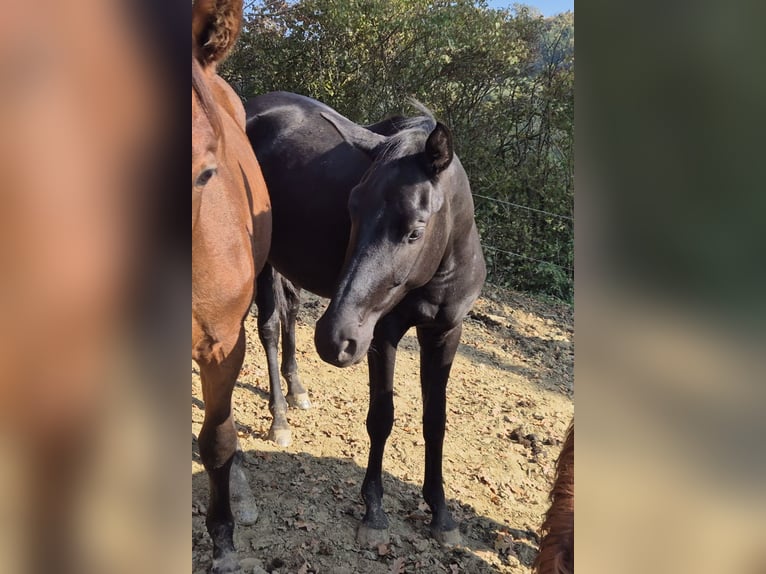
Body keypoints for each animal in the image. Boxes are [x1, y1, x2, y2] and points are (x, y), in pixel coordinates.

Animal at [246, 91, 486, 548]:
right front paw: (374, 510)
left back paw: (297, 389)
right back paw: (280, 417)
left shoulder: (445, 334)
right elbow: (382, 417)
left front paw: (441, 513)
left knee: (289, 313)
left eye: (415, 230)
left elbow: (436, 421)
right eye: (352, 210)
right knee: (268, 327)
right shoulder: (383, 335)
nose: (334, 338)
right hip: (261, 257)